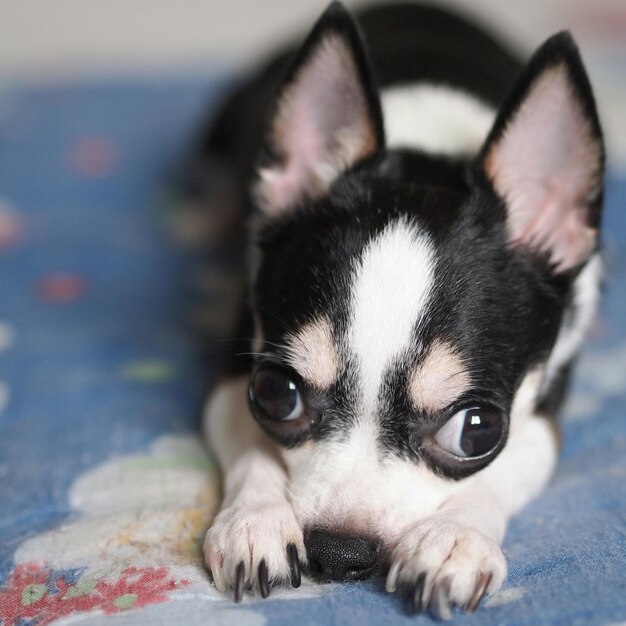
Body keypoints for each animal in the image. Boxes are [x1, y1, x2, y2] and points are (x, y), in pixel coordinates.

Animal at [193, 0, 604, 616]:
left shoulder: (543, 414)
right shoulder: (234, 376)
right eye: (276, 394)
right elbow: (252, 450)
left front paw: (454, 539)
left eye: (476, 430)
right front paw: (255, 520)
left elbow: (498, 474)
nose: (339, 551)